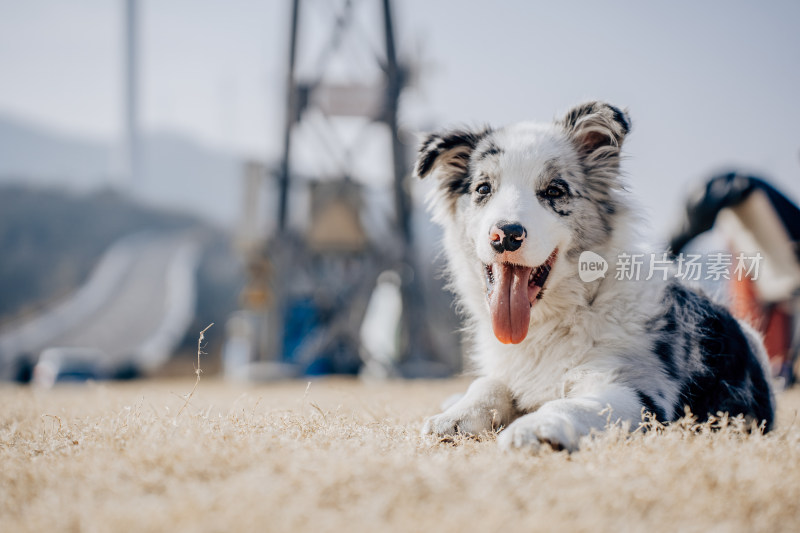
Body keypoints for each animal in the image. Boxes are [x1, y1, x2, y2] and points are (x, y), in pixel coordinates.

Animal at [416, 102, 772, 450]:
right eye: (483, 188)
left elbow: (572, 404)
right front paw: (454, 416)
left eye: (554, 191)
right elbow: (487, 382)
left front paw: (533, 428)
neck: (553, 322)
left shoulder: (639, 393)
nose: (506, 235)